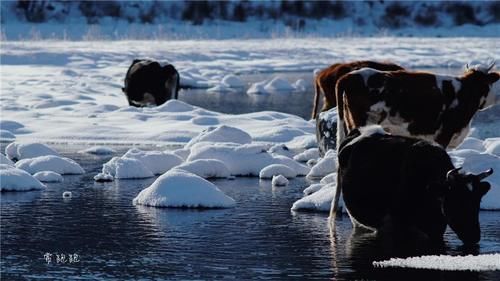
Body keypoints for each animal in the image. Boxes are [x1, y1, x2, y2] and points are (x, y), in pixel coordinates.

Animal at [334, 126, 494, 244]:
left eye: (478, 201)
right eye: (455, 200)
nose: (474, 236)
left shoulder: (436, 230)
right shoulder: (393, 227)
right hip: (356, 218)